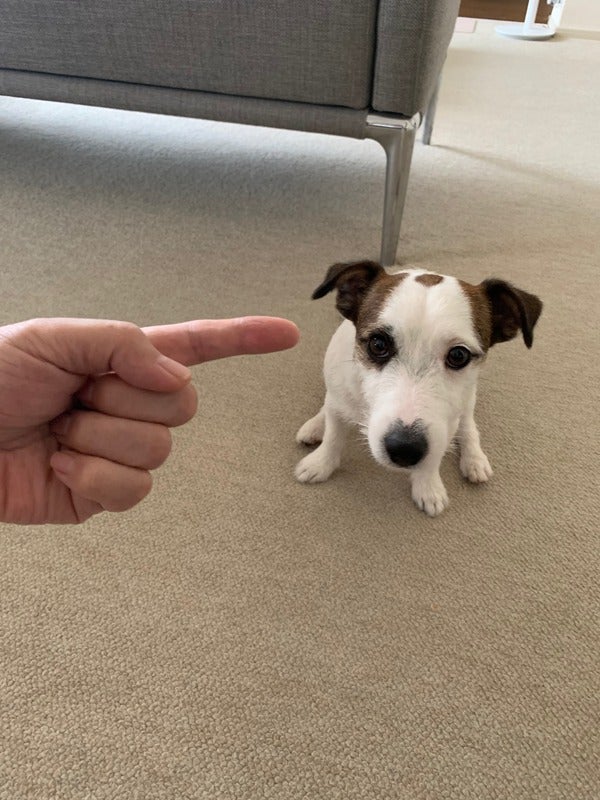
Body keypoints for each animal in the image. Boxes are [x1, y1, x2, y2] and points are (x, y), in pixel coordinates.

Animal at [295, 261, 542, 516]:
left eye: (459, 355)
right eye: (378, 344)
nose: (404, 449)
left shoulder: (445, 425)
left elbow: (433, 458)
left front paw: (428, 487)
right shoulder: (338, 403)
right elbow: (333, 436)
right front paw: (320, 463)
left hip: (466, 401)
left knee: (468, 426)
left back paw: (474, 459)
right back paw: (315, 426)